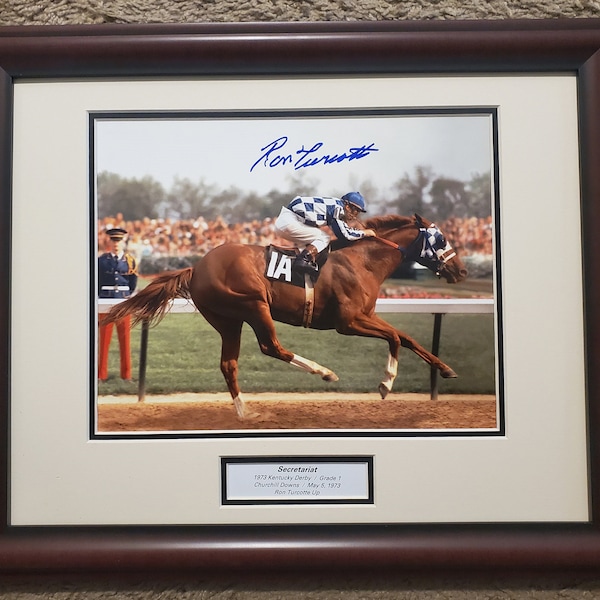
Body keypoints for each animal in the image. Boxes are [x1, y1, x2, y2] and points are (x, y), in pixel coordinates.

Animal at [104, 214, 468, 418]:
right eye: (441, 238)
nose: (462, 270)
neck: (362, 261)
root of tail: (197, 267)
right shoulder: (348, 322)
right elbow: (394, 337)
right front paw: (386, 383)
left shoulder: (365, 316)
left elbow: (406, 337)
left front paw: (446, 368)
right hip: (254, 305)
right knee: (272, 347)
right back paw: (324, 372)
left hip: (228, 320)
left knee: (229, 364)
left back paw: (243, 412)